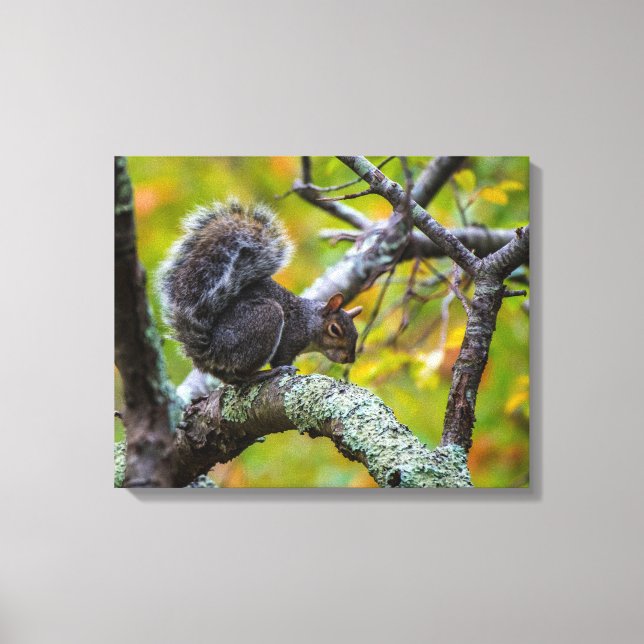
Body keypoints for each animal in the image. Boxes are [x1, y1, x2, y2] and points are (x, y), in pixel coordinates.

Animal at [158, 198, 363, 385]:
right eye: (335, 329)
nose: (350, 358)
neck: (308, 322)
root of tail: (210, 351)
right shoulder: (289, 341)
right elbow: (281, 359)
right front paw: (284, 369)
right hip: (265, 319)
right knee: (240, 376)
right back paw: (265, 374)